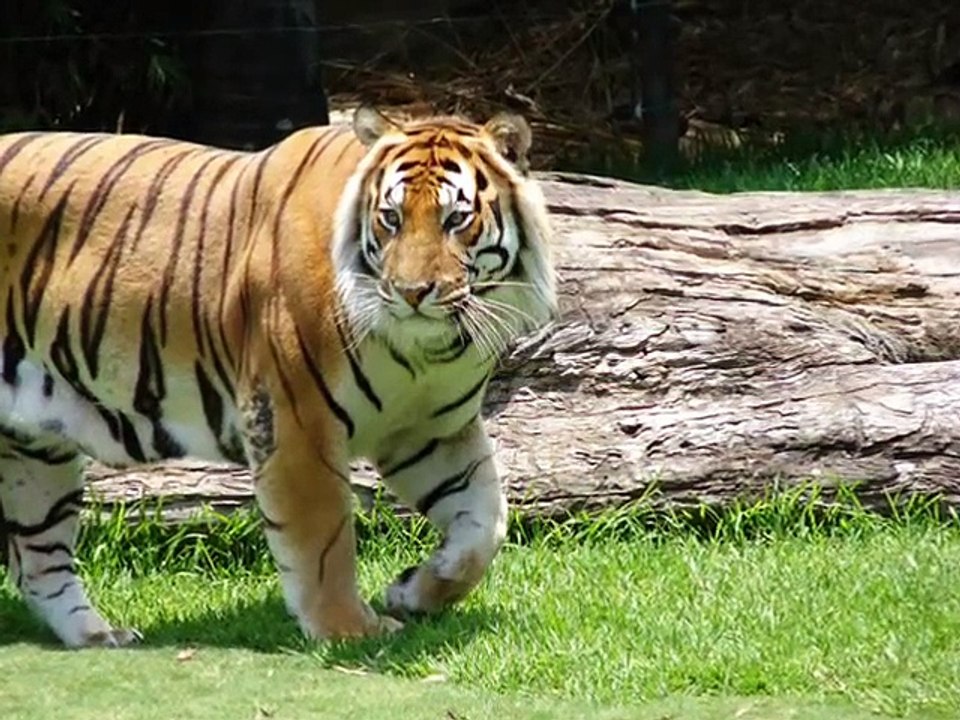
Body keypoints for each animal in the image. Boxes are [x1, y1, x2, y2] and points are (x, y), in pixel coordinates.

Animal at [0, 106, 556, 648]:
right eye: (392, 219)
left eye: (455, 219)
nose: (411, 292)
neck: (427, 351)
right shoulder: (295, 418)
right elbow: (324, 536)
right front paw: (348, 629)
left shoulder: (429, 429)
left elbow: (485, 524)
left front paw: (413, 591)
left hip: (36, 453)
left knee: (38, 562)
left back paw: (98, 635)